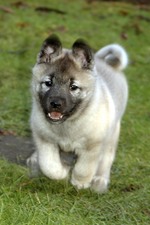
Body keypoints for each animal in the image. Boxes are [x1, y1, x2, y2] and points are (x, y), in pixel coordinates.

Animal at [26, 34, 127, 192]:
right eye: (48, 83)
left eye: (73, 87)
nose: (55, 104)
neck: (67, 124)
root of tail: (109, 63)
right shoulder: (44, 139)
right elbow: (49, 165)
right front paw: (62, 171)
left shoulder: (92, 146)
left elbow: (84, 168)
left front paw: (80, 182)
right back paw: (34, 158)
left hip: (112, 134)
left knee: (107, 158)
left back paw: (100, 180)